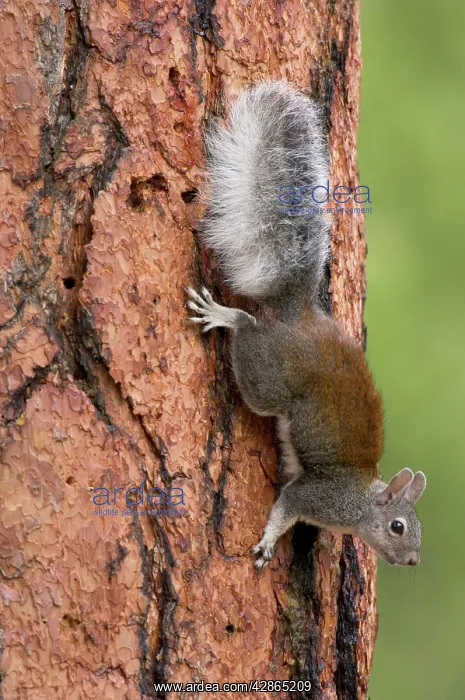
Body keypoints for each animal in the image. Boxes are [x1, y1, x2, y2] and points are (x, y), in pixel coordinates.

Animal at [186, 81, 426, 570]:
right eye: (398, 526)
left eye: (420, 530)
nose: (412, 560)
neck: (360, 502)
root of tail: (301, 318)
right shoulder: (315, 497)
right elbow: (286, 507)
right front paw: (267, 543)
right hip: (268, 378)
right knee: (248, 330)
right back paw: (226, 315)